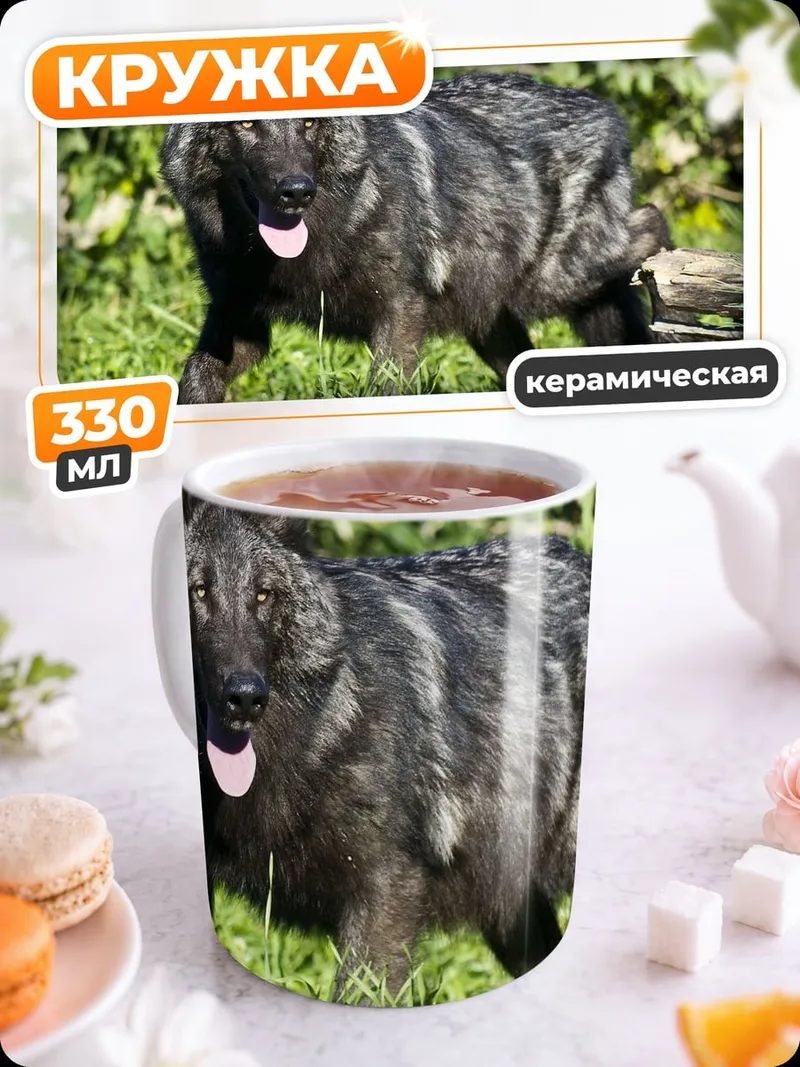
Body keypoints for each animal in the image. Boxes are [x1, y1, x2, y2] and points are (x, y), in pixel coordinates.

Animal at [161, 72, 670, 404]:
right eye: (247, 123)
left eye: (309, 122)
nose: (297, 191)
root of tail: (606, 111)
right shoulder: (240, 319)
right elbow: (195, 379)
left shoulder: (400, 315)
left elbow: (384, 390)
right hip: (494, 324)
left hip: (552, 285)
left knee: (651, 224)